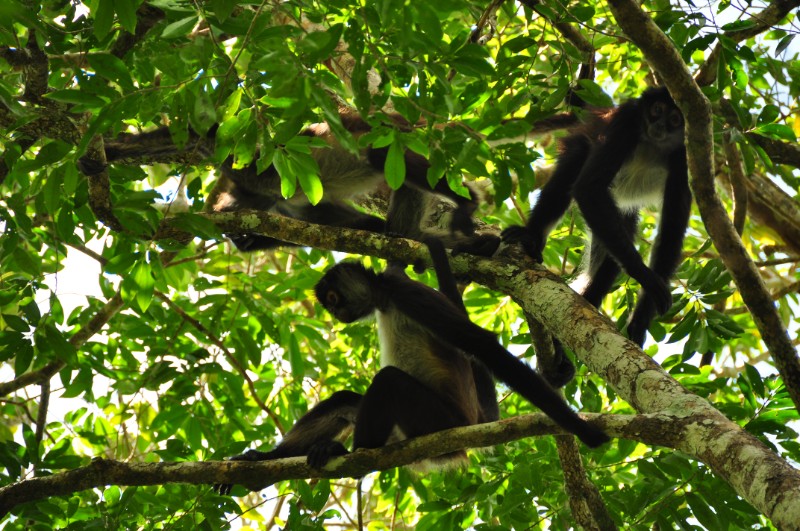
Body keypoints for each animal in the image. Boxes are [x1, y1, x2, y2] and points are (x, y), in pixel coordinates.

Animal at [78, 109, 501, 256]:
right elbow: (366, 228)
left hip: (389, 136)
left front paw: (108, 152)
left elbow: (199, 136)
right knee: (395, 231)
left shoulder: (245, 166)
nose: (241, 238)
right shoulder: (290, 206)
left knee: (381, 156)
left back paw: (468, 204)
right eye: (242, 240)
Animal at [214, 239, 608, 494]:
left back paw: (350, 455)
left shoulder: (408, 293)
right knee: (346, 401)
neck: (385, 298)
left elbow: (480, 344)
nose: (337, 314)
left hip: (437, 421)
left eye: (334, 299)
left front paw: (583, 431)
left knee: (389, 381)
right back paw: (265, 463)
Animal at [503, 87, 690, 362]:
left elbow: (671, 232)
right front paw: (645, 276)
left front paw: (641, 318)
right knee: (577, 161)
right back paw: (531, 236)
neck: (652, 143)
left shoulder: (684, 157)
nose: (660, 125)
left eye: (675, 119)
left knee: (620, 240)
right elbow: (588, 189)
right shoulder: (626, 120)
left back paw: (587, 302)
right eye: (657, 110)